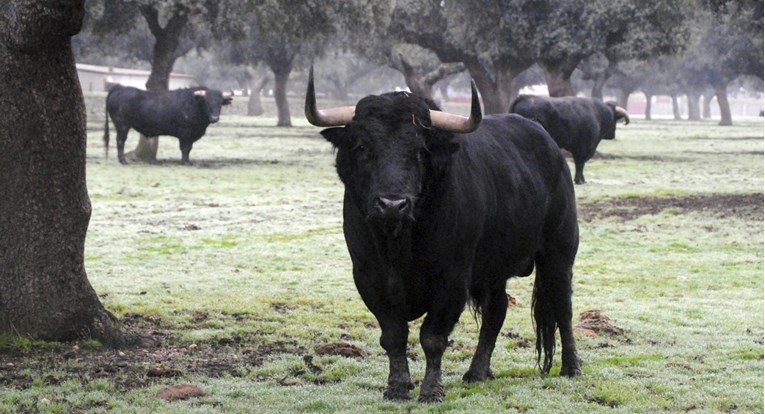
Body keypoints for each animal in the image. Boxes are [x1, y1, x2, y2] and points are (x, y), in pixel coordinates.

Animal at [103, 85, 231, 164]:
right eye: (206, 102)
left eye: (220, 103)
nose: (214, 118)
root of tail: (120, 88)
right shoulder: (185, 133)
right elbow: (185, 148)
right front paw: (184, 162)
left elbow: (189, 148)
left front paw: (187, 161)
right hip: (122, 125)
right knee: (120, 141)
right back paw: (123, 161)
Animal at [304, 68, 580, 404]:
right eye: (363, 147)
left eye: (420, 151)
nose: (392, 204)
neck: (399, 245)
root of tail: (549, 146)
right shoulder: (368, 278)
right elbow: (393, 336)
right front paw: (397, 386)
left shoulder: (451, 280)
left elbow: (433, 338)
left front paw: (431, 390)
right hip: (493, 269)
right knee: (496, 311)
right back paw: (477, 371)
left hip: (559, 252)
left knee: (563, 308)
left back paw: (571, 367)